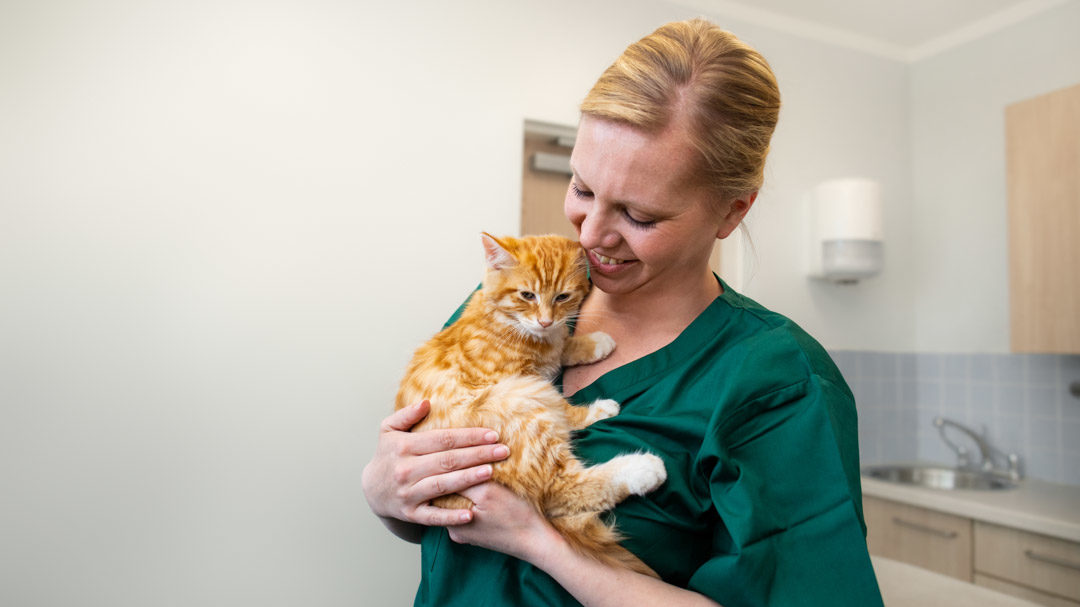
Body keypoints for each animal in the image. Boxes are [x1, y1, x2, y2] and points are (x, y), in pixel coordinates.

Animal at [397, 231, 665, 574]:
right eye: (527, 295)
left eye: (562, 297)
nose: (545, 320)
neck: (505, 321)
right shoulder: (520, 379)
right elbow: (561, 401)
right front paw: (594, 405)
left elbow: (562, 347)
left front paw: (591, 343)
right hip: (521, 404)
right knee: (560, 488)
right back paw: (642, 469)